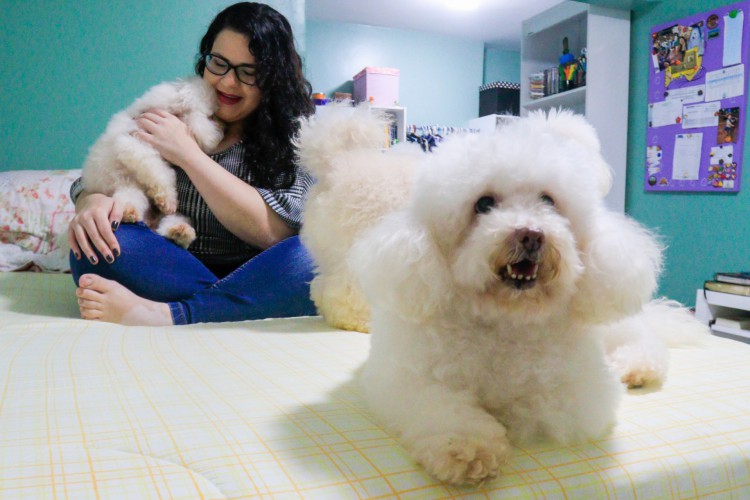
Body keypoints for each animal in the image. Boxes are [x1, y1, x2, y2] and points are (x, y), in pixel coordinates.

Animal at [83, 77, 223, 247]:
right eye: (211, 116)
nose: (223, 129)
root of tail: (151, 223)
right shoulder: (136, 147)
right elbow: (161, 174)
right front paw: (168, 200)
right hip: (129, 189)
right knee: (129, 203)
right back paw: (129, 212)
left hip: (166, 214)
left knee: (169, 224)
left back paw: (180, 232)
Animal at [346, 109, 712, 484]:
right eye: (484, 203)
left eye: (548, 201)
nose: (531, 235)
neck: (506, 318)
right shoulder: (405, 379)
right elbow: (444, 408)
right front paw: (468, 446)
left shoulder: (581, 393)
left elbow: (528, 403)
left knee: (646, 340)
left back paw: (635, 367)